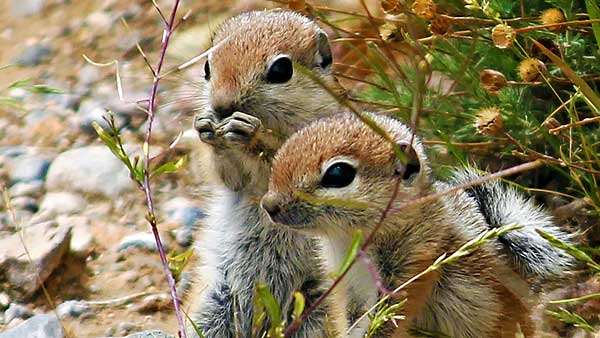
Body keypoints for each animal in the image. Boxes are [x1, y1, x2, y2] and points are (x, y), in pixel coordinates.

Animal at [190, 9, 344, 336]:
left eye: (281, 69)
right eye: (207, 66)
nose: (221, 106)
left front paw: (248, 132)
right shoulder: (237, 180)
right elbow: (228, 176)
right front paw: (208, 128)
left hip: (315, 310)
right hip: (212, 305)